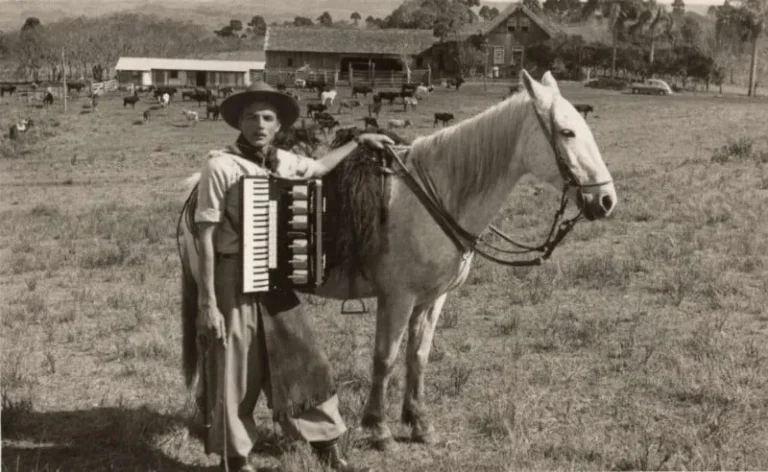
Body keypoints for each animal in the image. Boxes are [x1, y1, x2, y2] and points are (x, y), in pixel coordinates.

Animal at [176, 70, 617, 451]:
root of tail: (196, 191)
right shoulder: (397, 298)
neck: (437, 195)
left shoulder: (431, 299)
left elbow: (417, 357)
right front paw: (379, 428)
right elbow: (385, 358)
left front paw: (419, 423)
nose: (606, 200)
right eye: (567, 131)